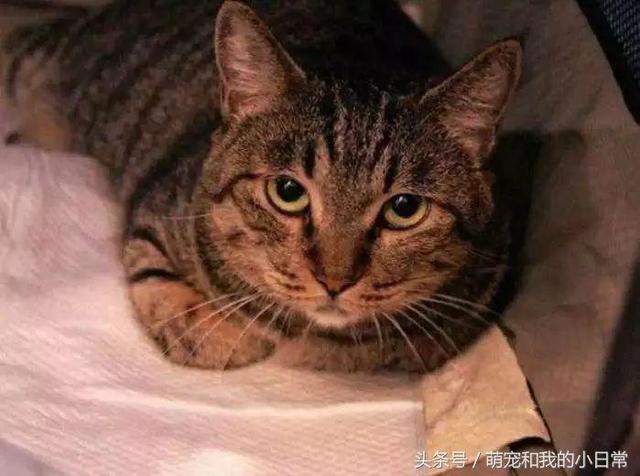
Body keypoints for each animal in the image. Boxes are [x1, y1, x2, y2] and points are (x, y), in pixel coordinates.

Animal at [0, 0, 521, 372]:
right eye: (287, 192)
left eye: (405, 208)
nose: (335, 281)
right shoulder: (156, 212)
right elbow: (168, 295)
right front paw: (229, 334)